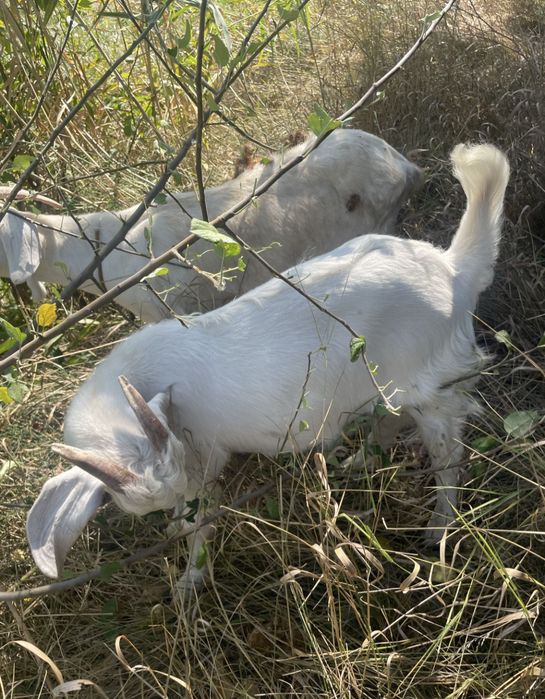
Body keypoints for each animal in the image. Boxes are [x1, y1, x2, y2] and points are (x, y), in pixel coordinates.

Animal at [26, 144, 510, 590]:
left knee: (448, 456)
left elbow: (203, 518)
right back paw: (358, 464)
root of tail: (453, 270)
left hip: (433, 385)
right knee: (389, 421)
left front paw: (189, 582)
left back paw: (439, 531)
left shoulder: (204, 455)